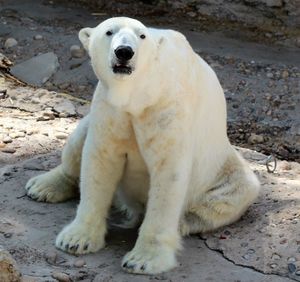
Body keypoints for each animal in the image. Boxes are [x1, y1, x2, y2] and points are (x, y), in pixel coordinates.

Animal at [25, 16, 260, 274]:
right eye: (109, 32)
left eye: (142, 35)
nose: (124, 52)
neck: (140, 94)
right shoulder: (110, 108)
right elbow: (100, 159)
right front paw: (76, 239)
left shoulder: (167, 110)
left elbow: (169, 174)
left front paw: (143, 260)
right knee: (78, 140)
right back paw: (42, 186)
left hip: (223, 169)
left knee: (235, 190)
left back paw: (182, 224)